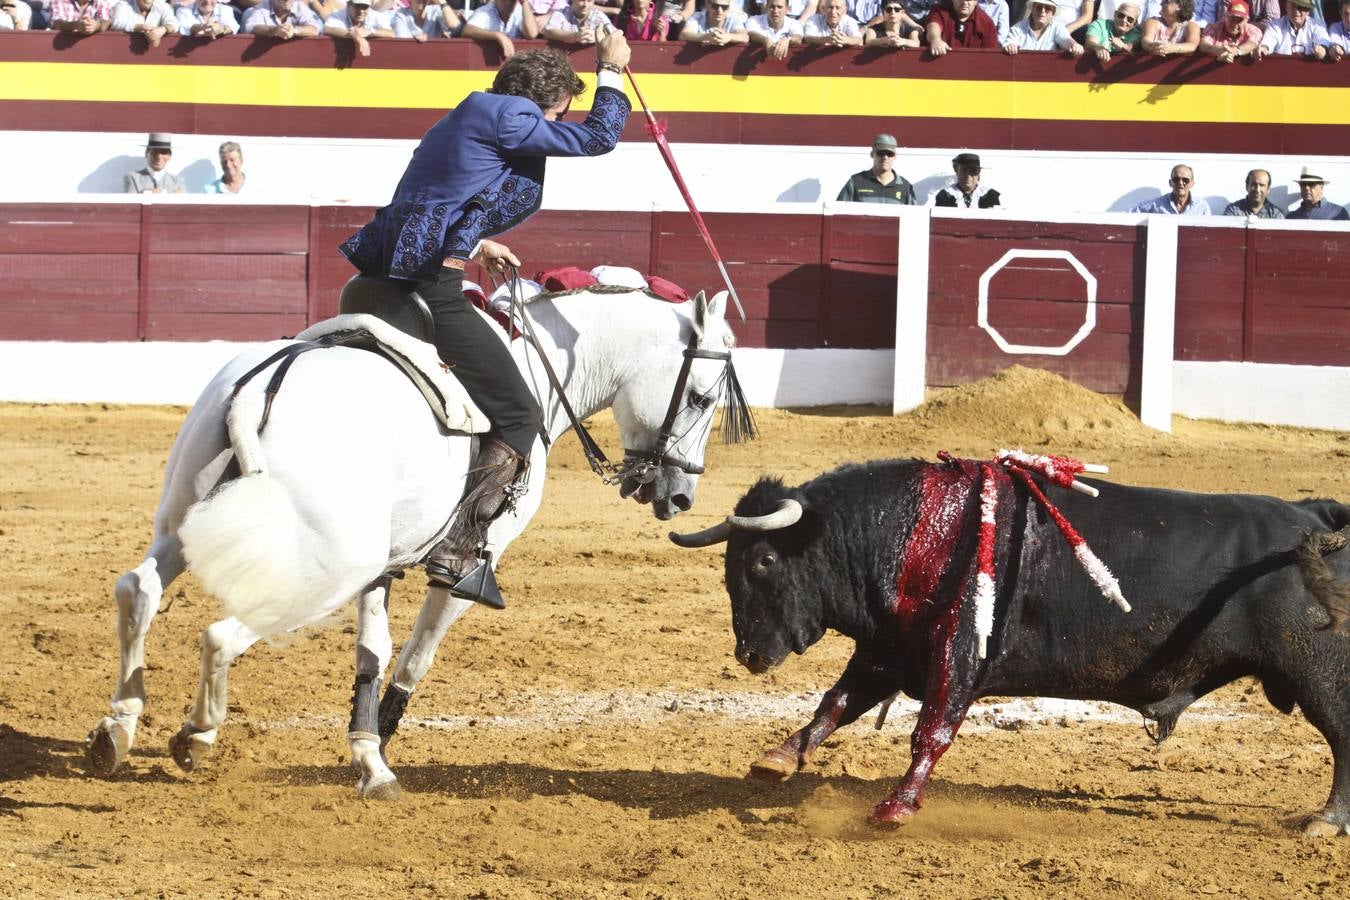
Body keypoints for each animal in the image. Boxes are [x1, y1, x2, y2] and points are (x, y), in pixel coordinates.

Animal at [91, 284, 750, 798]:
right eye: (702, 397)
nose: (680, 495)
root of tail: (265, 388)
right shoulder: (466, 567)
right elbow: (416, 653)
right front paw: (378, 747)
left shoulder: (385, 564)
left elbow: (372, 650)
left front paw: (368, 756)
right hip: (326, 564)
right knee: (222, 632)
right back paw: (196, 735)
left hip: (184, 522)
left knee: (138, 590)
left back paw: (116, 729)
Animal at [672, 461, 1350, 836]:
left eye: (762, 560)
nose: (748, 655)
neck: (913, 530)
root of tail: (1315, 519)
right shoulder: (889, 651)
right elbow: (834, 705)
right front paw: (777, 759)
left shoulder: (955, 658)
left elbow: (930, 731)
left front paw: (894, 809)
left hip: (1317, 670)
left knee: (1342, 733)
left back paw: (1325, 820)